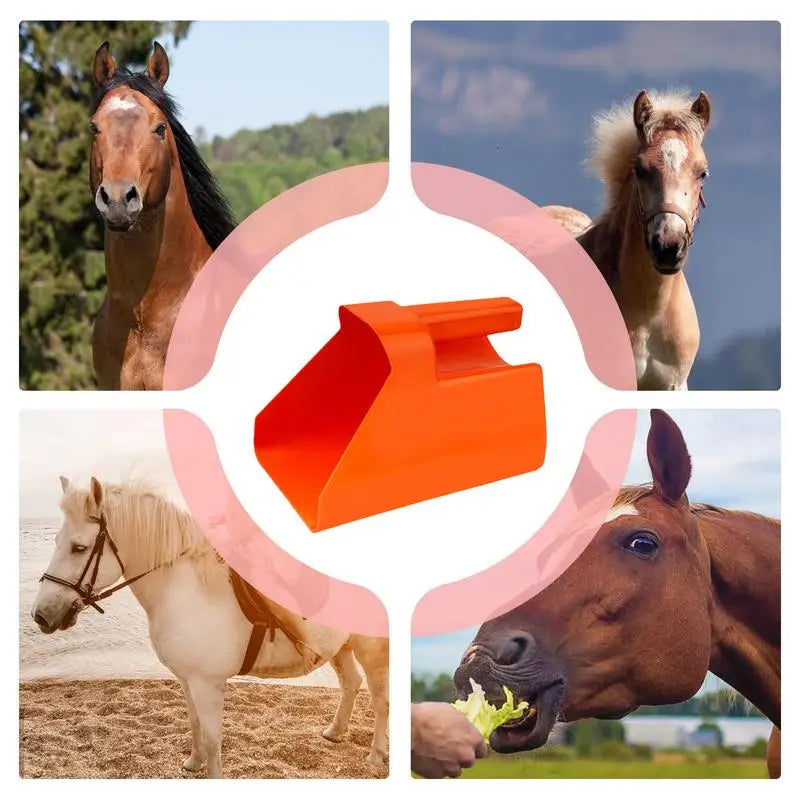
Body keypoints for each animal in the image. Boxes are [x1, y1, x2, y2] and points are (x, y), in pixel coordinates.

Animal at [31, 477, 389, 777]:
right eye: (57, 541)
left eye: (79, 547)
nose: (41, 615)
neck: (185, 590)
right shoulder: (187, 679)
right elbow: (194, 724)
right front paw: (193, 763)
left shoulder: (207, 683)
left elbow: (214, 739)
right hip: (340, 647)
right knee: (351, 683)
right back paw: (335, 733)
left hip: (371, 650)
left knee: (379, 698)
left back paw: (375, 755)